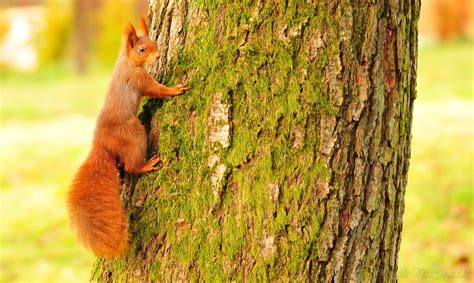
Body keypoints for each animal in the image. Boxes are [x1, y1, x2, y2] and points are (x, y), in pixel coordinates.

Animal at [67, 16, 189, 260]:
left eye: (153, 42)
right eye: (141, 49)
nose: (158, 56)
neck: (128, 62)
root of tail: (102, 143)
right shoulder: (139, 79)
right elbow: (156, 89)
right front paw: (174, 89)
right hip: (133, 133)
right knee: (131, 166)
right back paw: (146, 165)